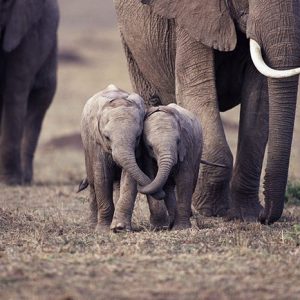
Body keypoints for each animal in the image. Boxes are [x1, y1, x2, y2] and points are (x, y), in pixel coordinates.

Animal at [0, 0, 59, 185]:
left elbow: (14, 93)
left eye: (4, 5)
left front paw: (9, 182)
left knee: (38, 105)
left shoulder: (26, 33)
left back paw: (24, 178)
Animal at [79, 85, 166, 232]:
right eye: (107, 137)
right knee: (92, 183)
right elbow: (102, 177)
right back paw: (92, 225)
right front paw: (103, 230)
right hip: (86, 145)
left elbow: (129, 178)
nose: (162, 192)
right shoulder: (97, 143)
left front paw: (120, 228)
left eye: (138, 137)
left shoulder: (137, 149)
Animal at [113, 0, 300, 224]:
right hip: (131, 45)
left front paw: (247, 214)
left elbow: (260, 101)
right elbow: (197, 90)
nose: (266, 217)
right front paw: (212, 209)